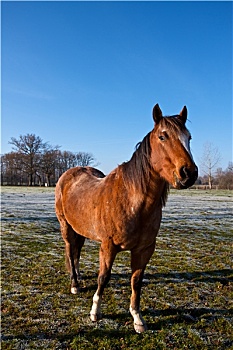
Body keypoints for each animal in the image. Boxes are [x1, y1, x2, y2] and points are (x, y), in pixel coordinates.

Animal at [55, 103, 198, 330]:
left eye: (189, 137)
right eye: (163, 136)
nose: (189, 173)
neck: (133, 203)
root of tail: (69, 174)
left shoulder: (144, 249)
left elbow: (136, 281)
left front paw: (137, 318)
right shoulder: (108, 246)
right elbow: (103, 277)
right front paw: (95, 312)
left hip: (81, 229)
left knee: (76, 253)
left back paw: (78, 276)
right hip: (66, 227)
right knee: (70, 251)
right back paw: (75, 284)